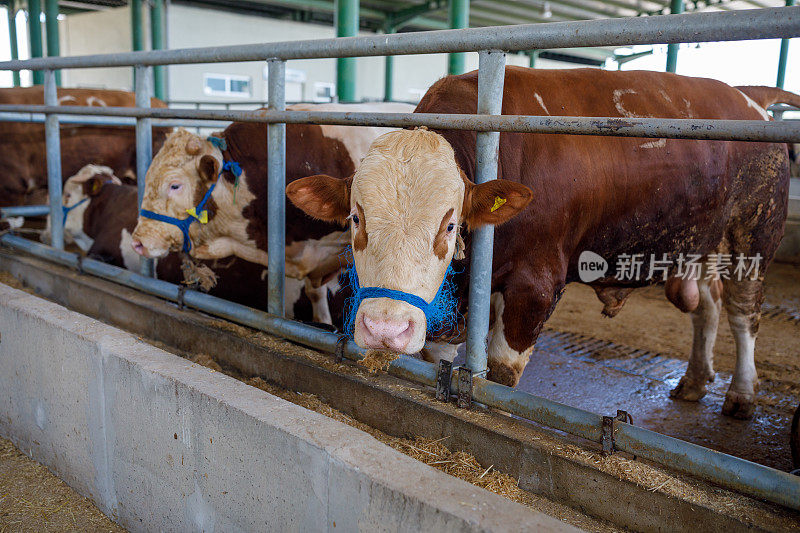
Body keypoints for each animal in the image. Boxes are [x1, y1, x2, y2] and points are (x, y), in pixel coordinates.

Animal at [284, 66, 792, 418]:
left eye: (449, 225)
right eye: (356, 217)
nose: (385, 330)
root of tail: (748, 97)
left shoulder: (535, 287)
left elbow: (502, 369)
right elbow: (438, 355)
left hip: (753, 231)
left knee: (744, 311)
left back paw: (741, 393)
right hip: (702, 241)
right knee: (708, 305)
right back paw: (695, 380)